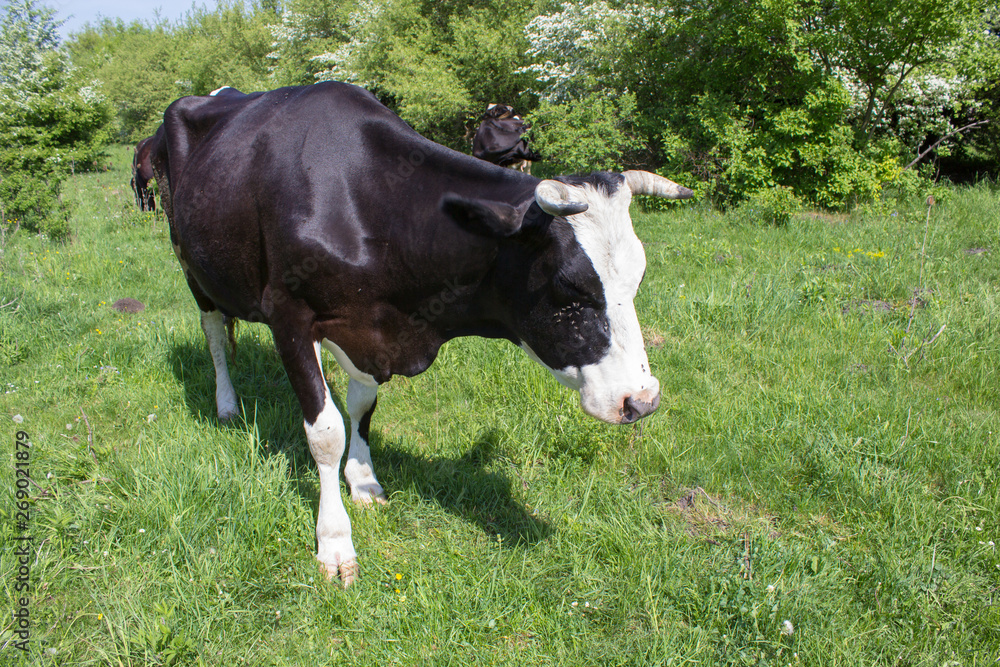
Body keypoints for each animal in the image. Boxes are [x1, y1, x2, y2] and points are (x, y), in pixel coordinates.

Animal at [151, 82, 693, 587]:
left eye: (639, 278)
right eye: (569, 287)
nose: (643, 400)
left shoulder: (368, 333)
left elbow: (360, 408)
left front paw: (363, 482)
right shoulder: (288, 314)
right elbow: (325, 431)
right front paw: (334, 541)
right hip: (188, 262)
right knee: (214, 334)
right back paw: (226, 404)